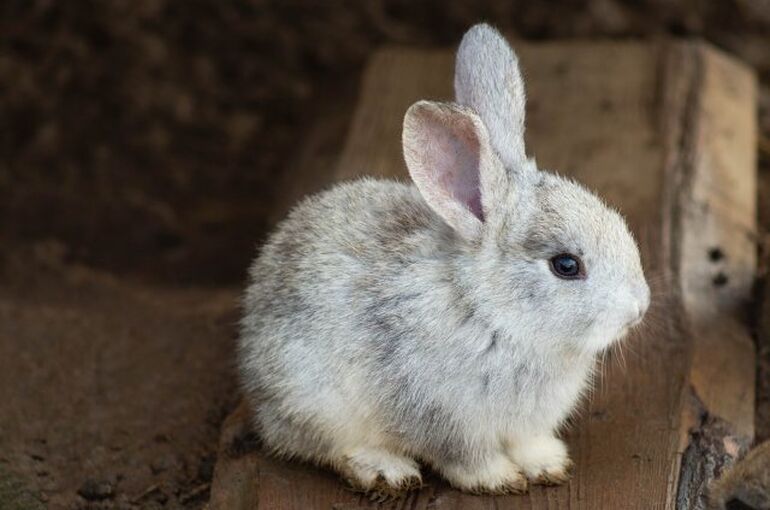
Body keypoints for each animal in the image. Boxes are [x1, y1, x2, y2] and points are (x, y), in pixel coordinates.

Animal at [238, 23, 650, 496]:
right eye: (566, 265)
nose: (639, 308)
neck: (491, 313)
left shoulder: (525, 425)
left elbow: (528, 443)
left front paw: (548, 465)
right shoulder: (444, 418)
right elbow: (465, 459)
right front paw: (499, 480)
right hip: (314, 400)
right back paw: (386, 470)